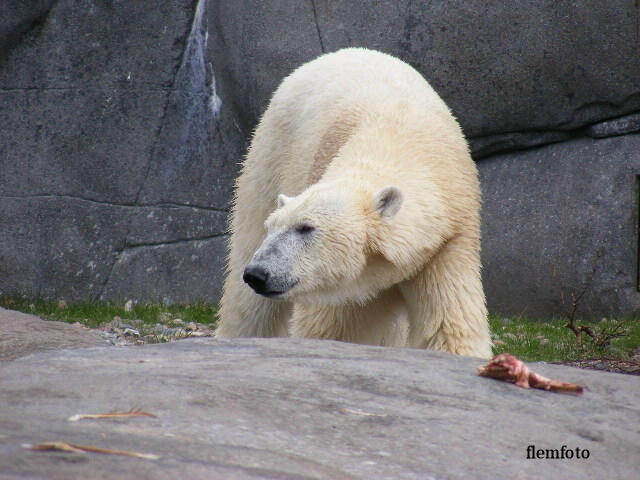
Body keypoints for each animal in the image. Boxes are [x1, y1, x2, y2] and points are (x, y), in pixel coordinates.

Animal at [215, 47, 490, 356]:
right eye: (273, 227)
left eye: (306, 228)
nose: (258, 273)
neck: (397, 139)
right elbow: (335, 328)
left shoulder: (448, 240)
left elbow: (450, 324)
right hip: (272, 152)